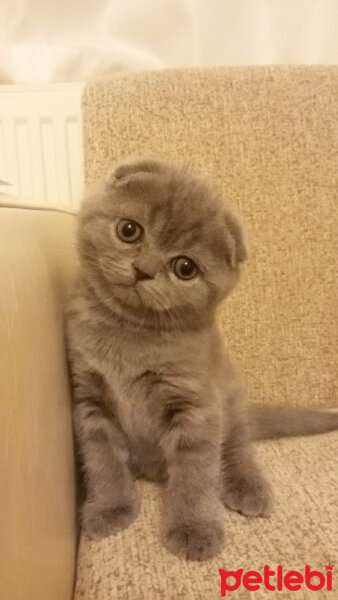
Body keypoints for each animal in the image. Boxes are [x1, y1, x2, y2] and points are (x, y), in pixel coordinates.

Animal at [66, 159, 338, 564]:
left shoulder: (197, 404)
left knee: (238, 447)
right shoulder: (89, 397)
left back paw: (247, 486)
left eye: (185, 268)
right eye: (129, 230)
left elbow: (196, 472)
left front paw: (194, 528)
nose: (143, 269)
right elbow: (102, 459)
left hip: (231, 401)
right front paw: (110, 508)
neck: (130, 331)